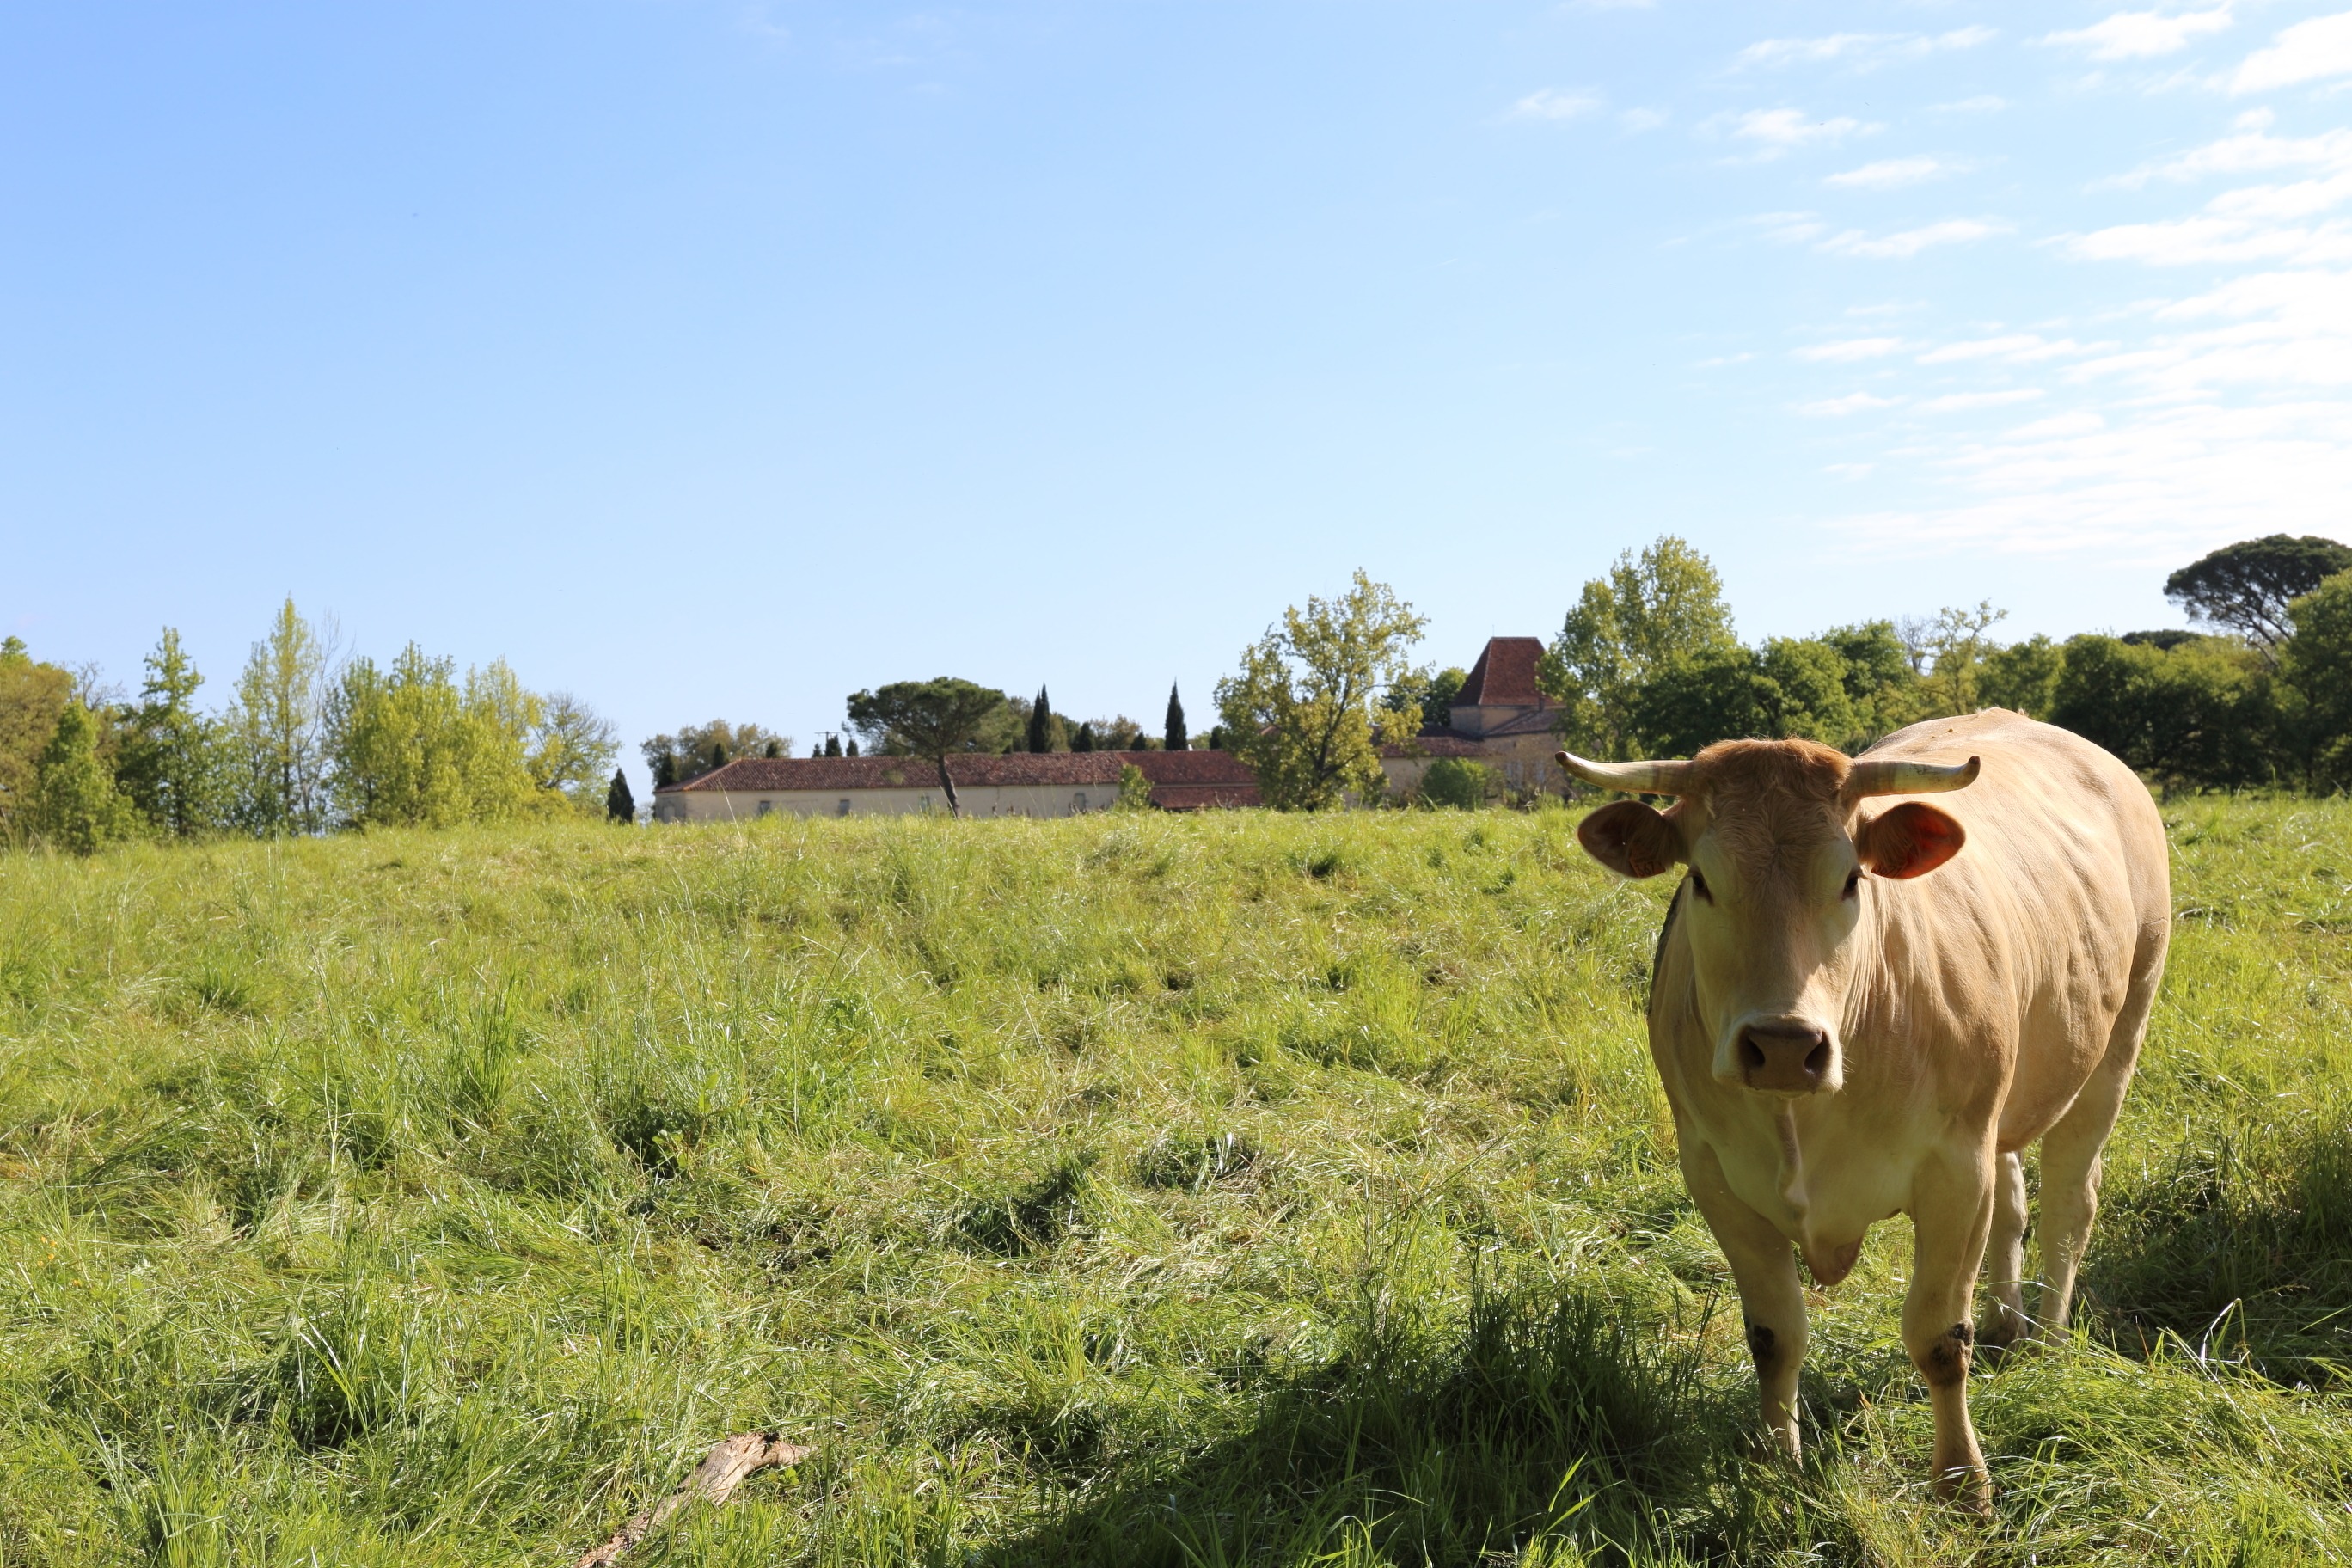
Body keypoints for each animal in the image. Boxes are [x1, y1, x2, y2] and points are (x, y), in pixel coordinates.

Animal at [1552, 709, 2173, 1504]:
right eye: (1700, 880)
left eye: (1851, 879)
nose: (1783, 1044)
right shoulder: (1714, 1176)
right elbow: (1773, 1334)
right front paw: (1774, 1463)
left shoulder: (1954, 1171)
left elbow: (1938, 1337)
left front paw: (1961, 1482)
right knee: (2014, 1198)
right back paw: (2005, 1324)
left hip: (2120, 1036)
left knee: (2070, 1201)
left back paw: (2051, 1343)